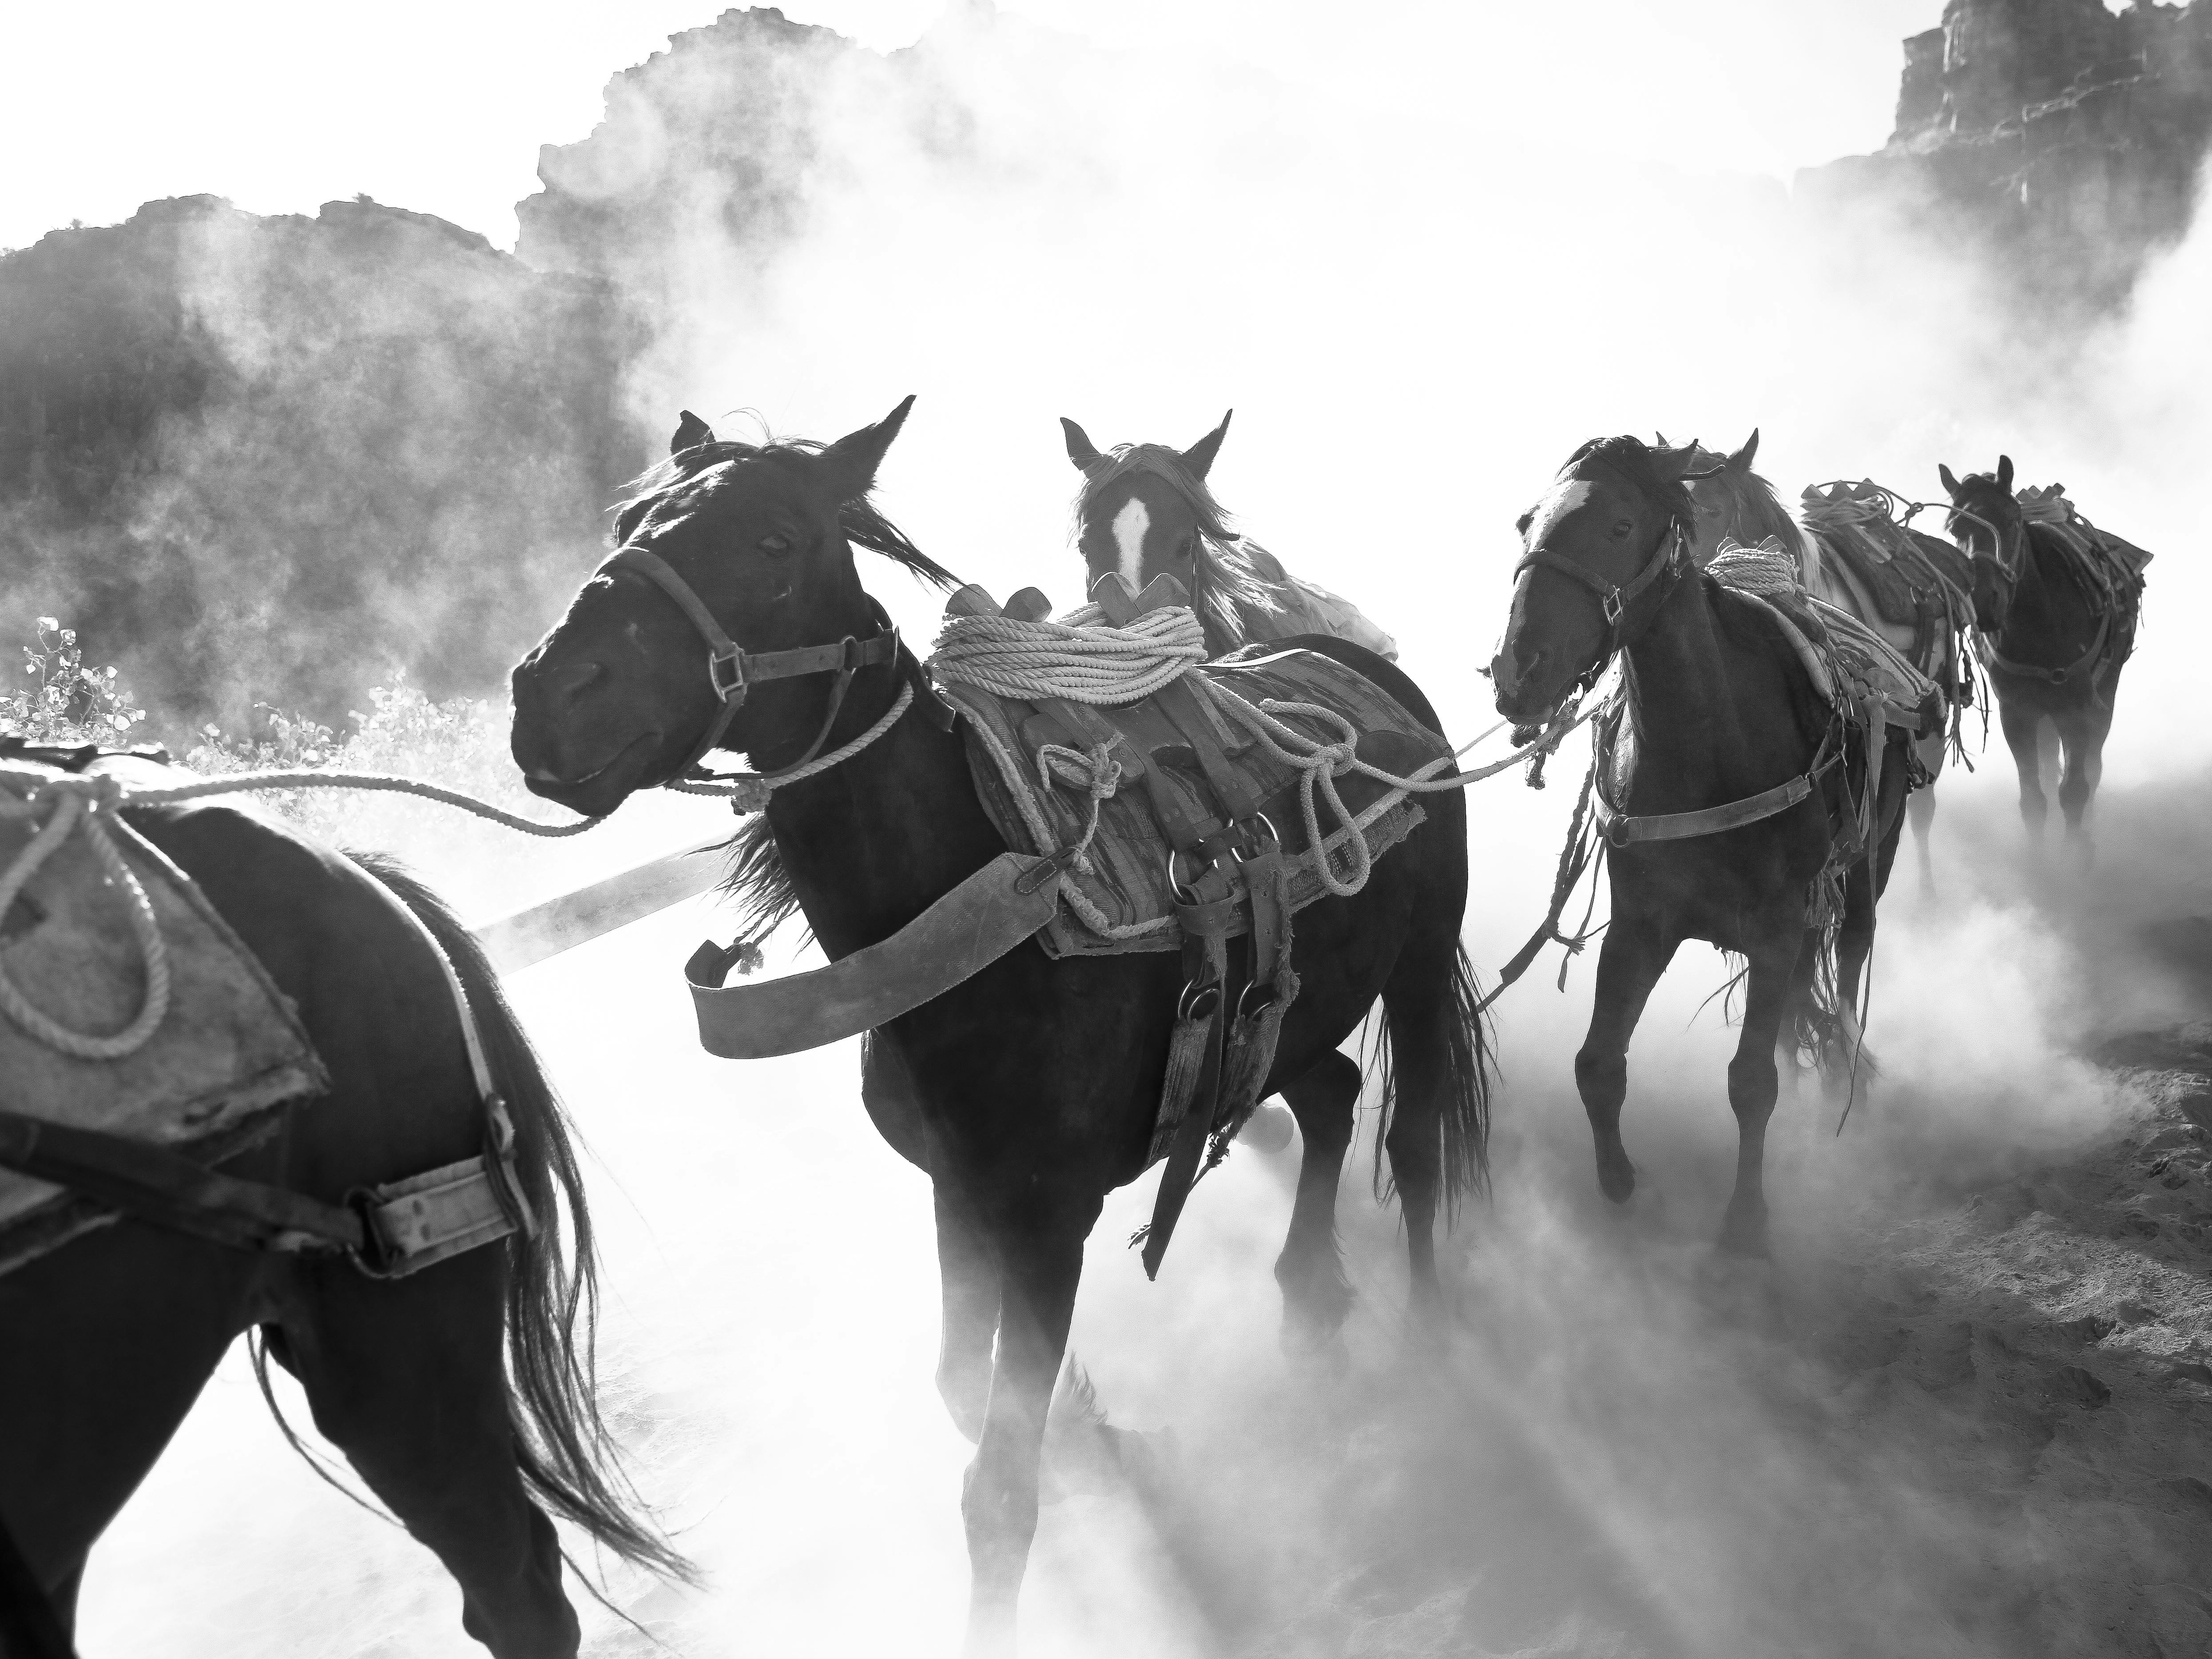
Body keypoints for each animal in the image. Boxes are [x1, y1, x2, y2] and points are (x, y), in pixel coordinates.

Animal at [508, 398, 1489, 1652]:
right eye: (629, 525)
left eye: (777, 540)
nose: (550, 695)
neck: (976, 906)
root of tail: (1365, 670)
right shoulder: (955, 1191)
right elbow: (959, 1393)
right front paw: (1099, 1448)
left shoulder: (1044, 1223)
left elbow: (1001, 1489)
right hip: (1295, 1008)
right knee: (1329, 1099)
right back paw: (1309, 1289)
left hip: (1415, 967)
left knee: (1412, 1138)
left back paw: (1428, 1337)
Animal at [1490, 436, 1915, 1255]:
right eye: (1526, 521)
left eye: (1621, 525)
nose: (1518, 670)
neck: (1712, 745)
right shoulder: (1640, 926)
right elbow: (1598, 1063)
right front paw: (1621, 1184)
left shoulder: (1778, 930)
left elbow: (1750, 1082)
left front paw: (1745, 1222)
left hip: (1869, 866)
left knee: (1851, 954)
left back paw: (1842, 1072)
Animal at [1937, 456, 2143, 850]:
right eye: (1954, 527)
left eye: (2010, 519)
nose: (1983, 600)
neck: (2040, 624)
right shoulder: (2016, 712)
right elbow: (2033, 798)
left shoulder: (2077, 708)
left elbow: (2075, 790)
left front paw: (2074, 855)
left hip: (2102, 693)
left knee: (2092, 765)